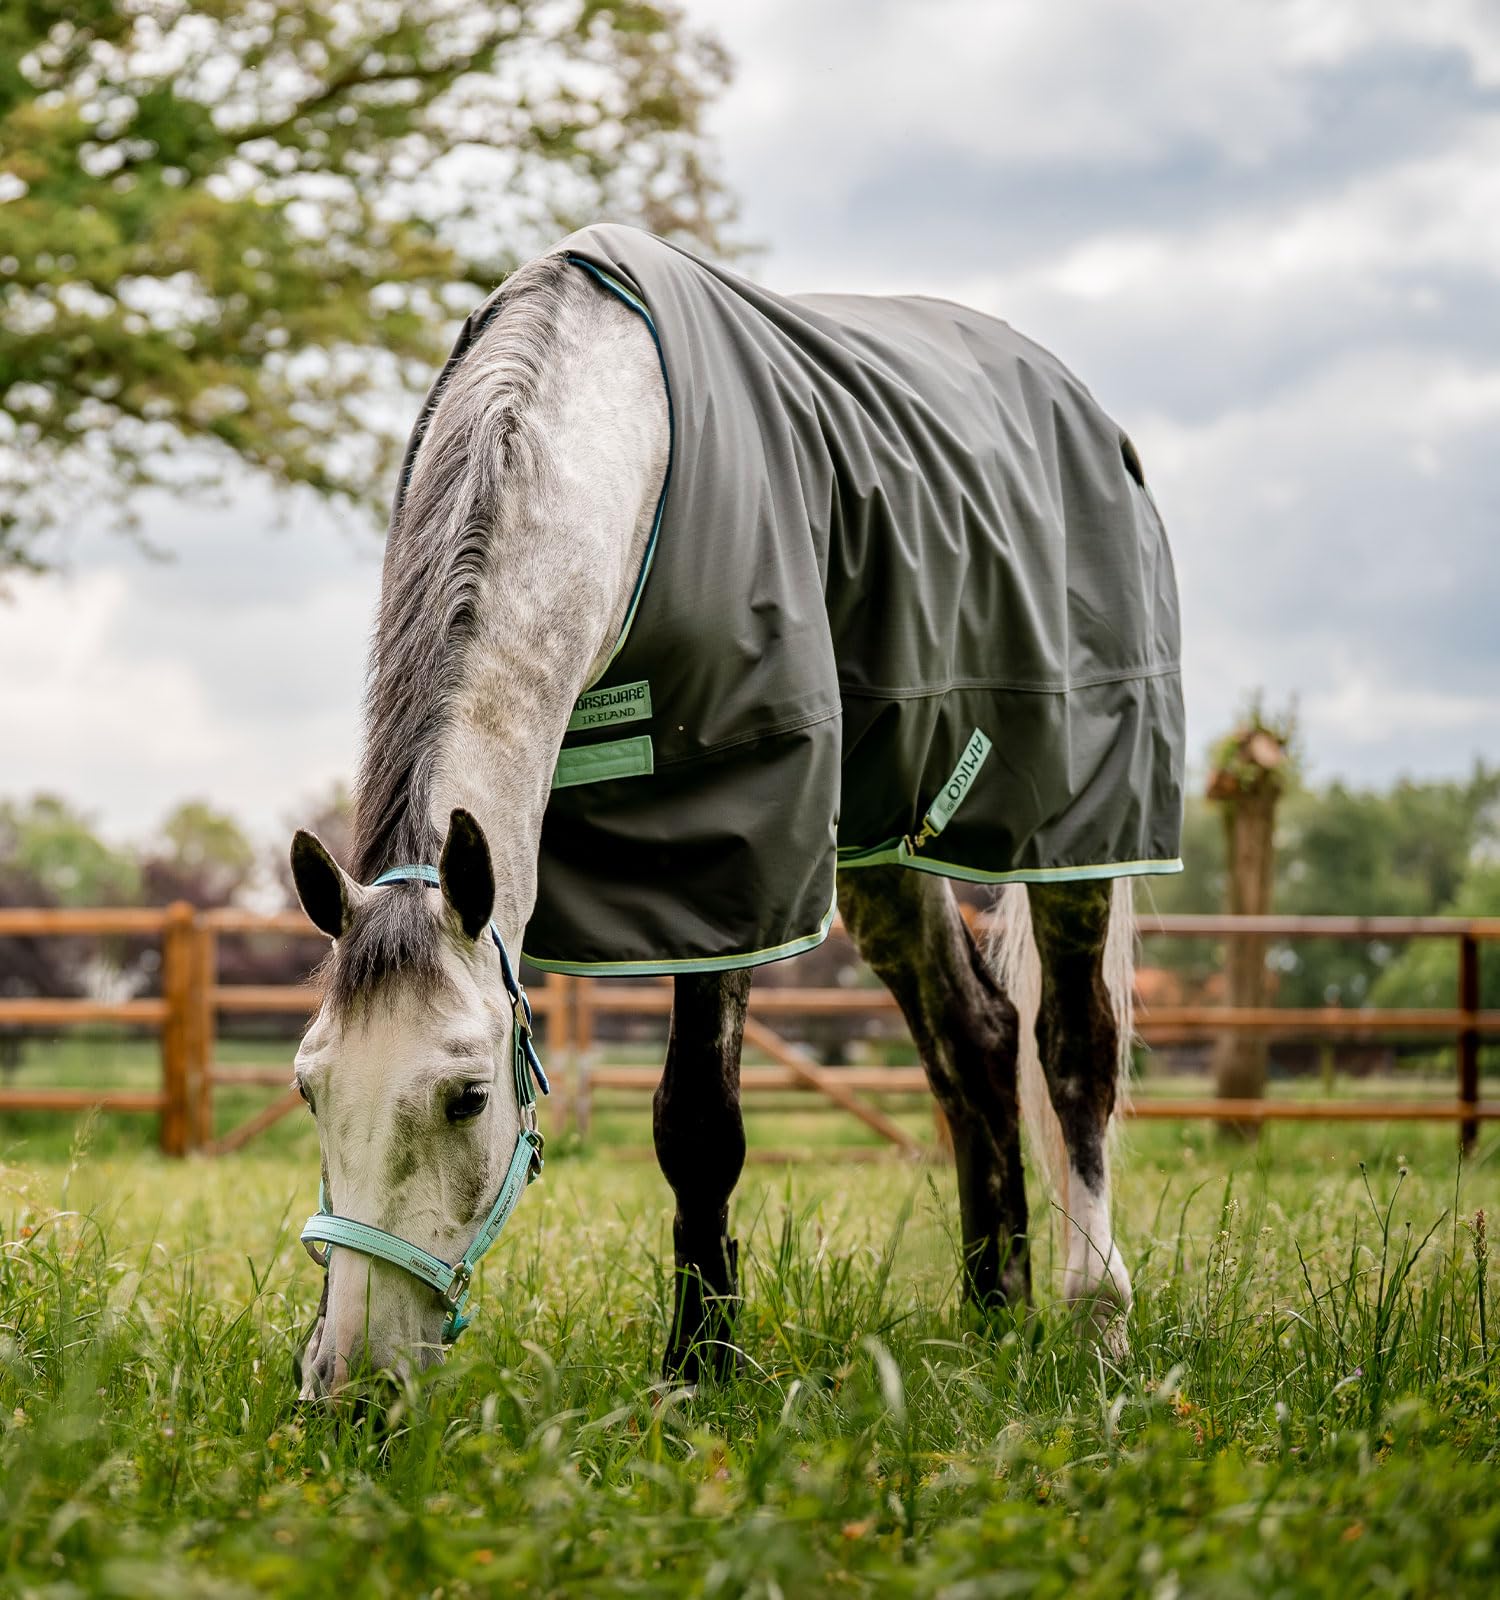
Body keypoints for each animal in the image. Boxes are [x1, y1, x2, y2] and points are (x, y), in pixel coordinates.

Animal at [289, 225, 1183, 1398]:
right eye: (311, 1089)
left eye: (469, 1096)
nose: (351, 1390)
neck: (614, 451)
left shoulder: (736, 852)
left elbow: (697, 1123)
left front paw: (697, 1371)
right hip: (881, 851)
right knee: (977, 1039)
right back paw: (992, 1314)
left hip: (1078, 826)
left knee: (1075, 1049)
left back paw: (1095, 1325)